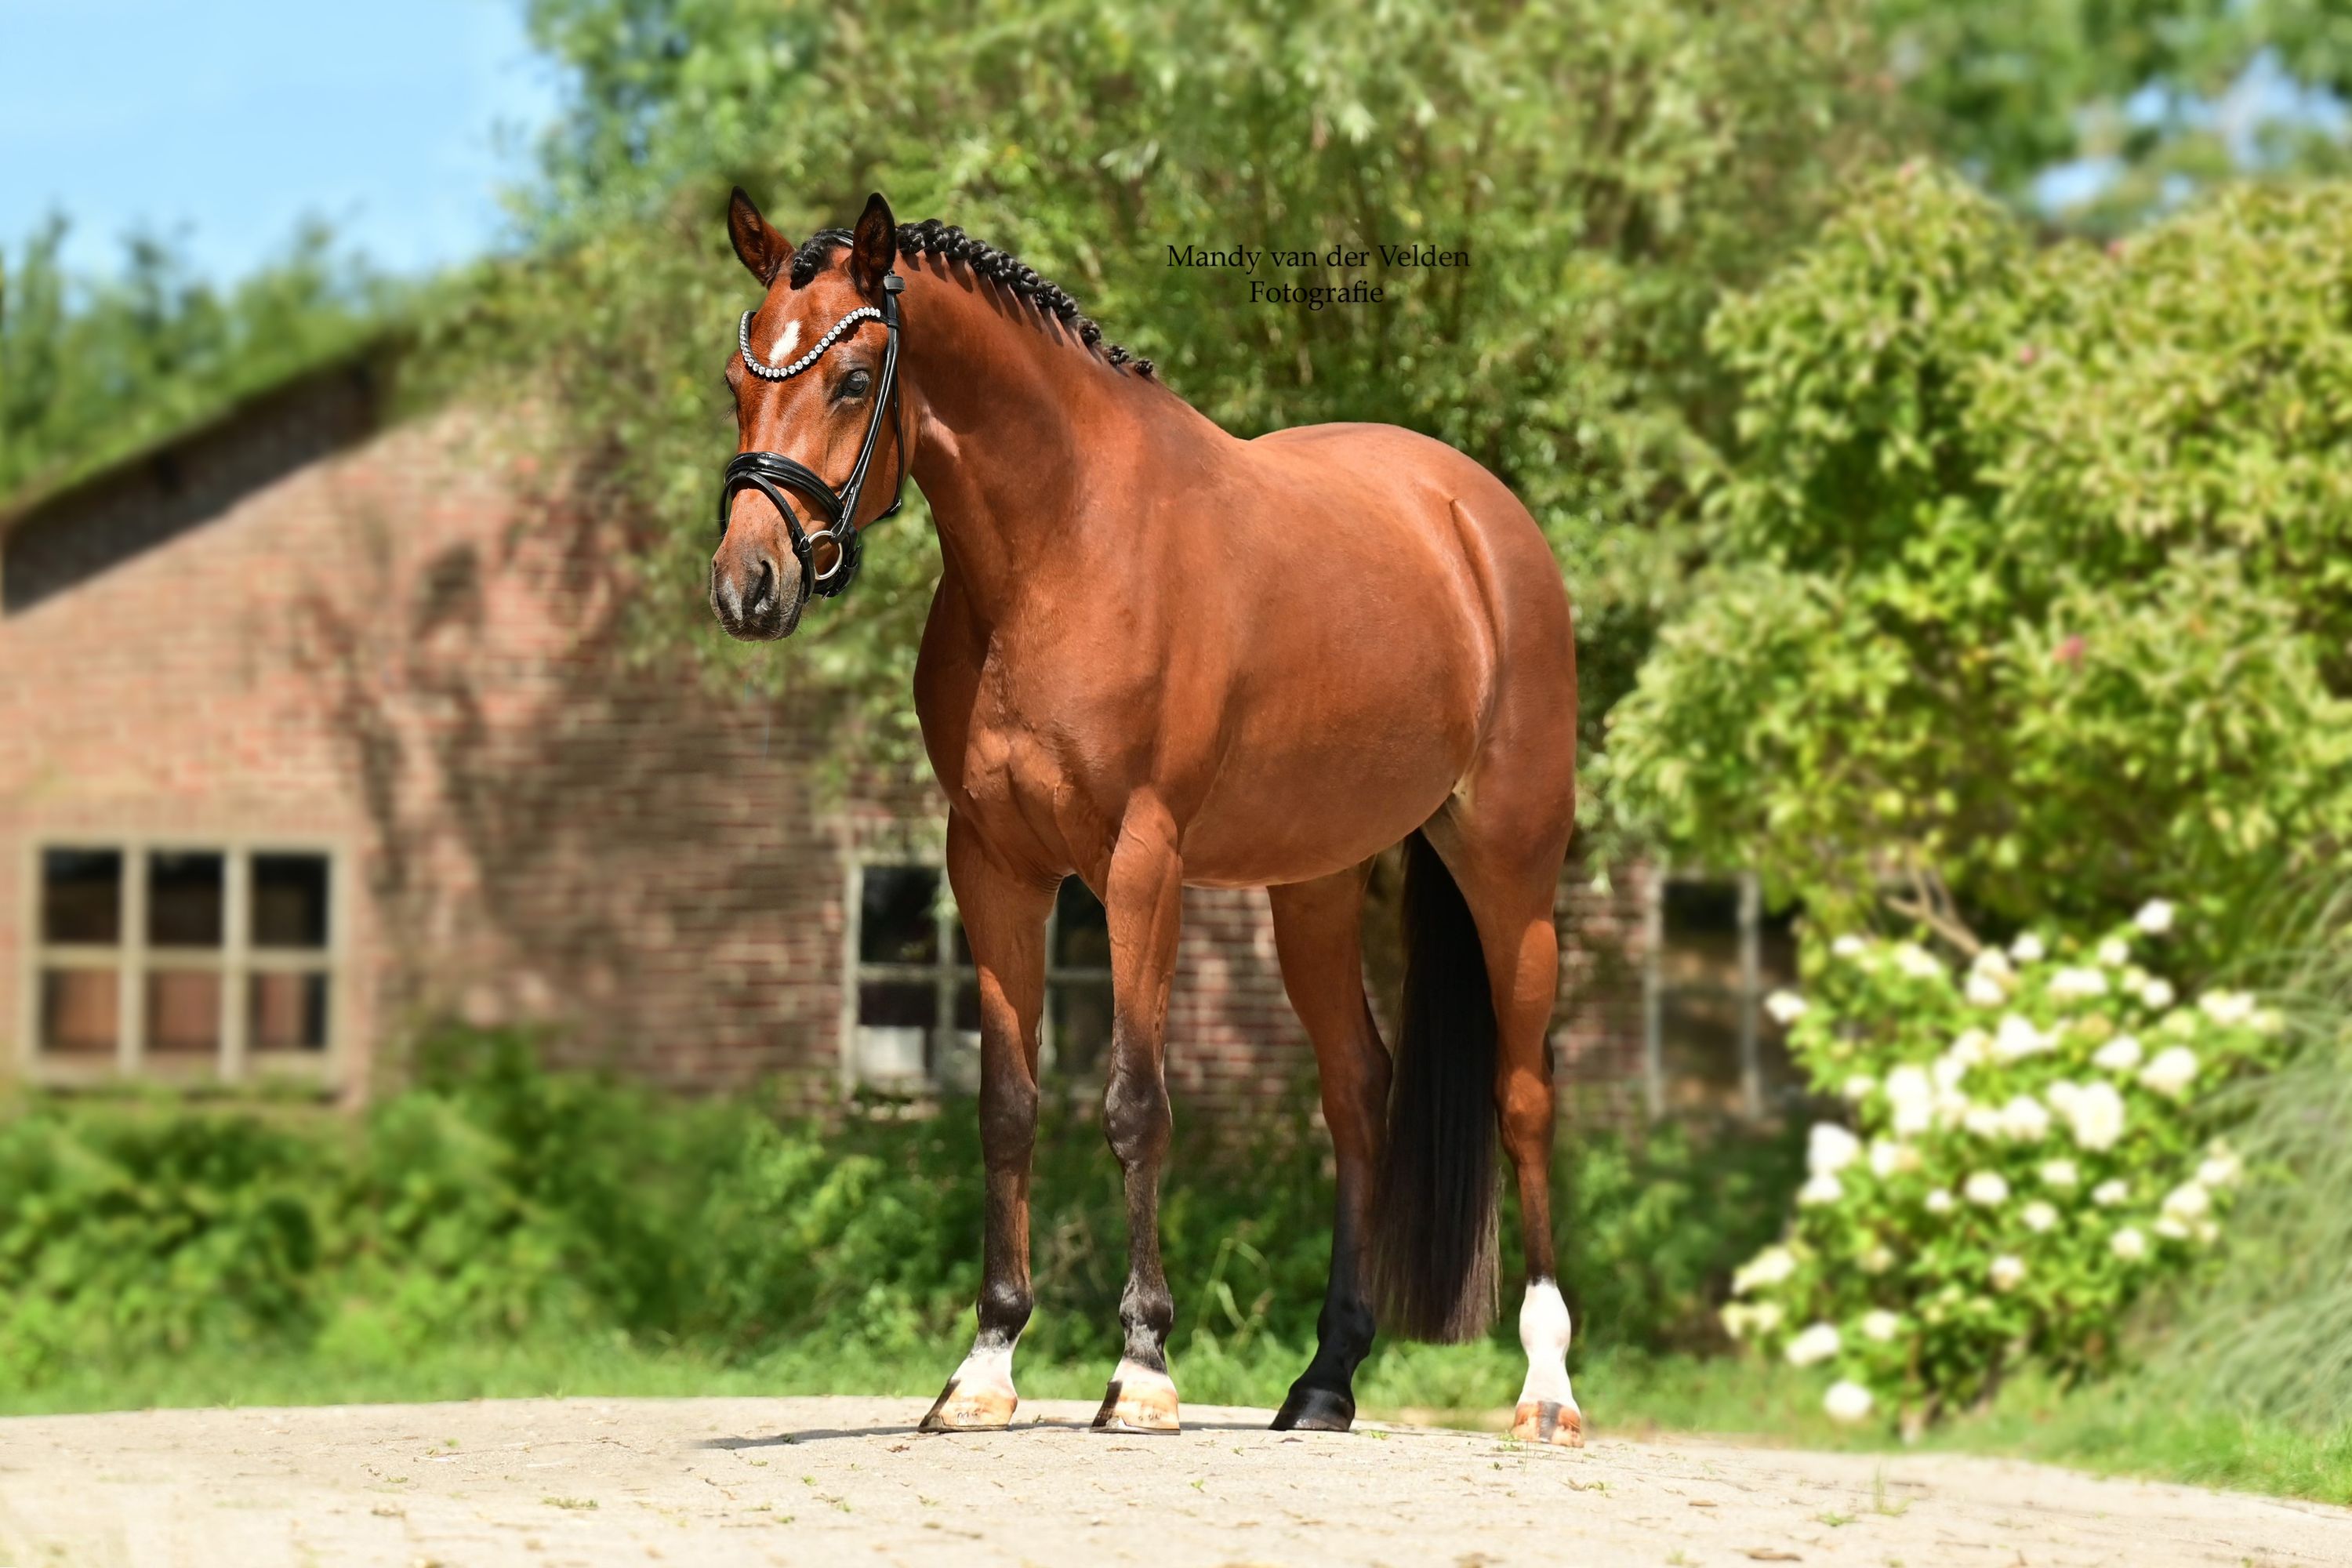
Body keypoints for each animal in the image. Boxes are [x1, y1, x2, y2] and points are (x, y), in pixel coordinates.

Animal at [709, 189, 1583, 1445]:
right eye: (738, 383)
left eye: (850, 378)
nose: (749, 585)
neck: (1062, 544)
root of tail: (1480, 518)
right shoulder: (992, 866)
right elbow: (1007, 1107)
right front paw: (984, 1367)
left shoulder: (1141, 862)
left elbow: (1136, 1102)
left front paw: (1141, 1368)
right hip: (1316, 885)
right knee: (1357, 1095)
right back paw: (1324, 1381)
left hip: (1511, 868)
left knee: (1525, 1097)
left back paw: (1548, 1388)